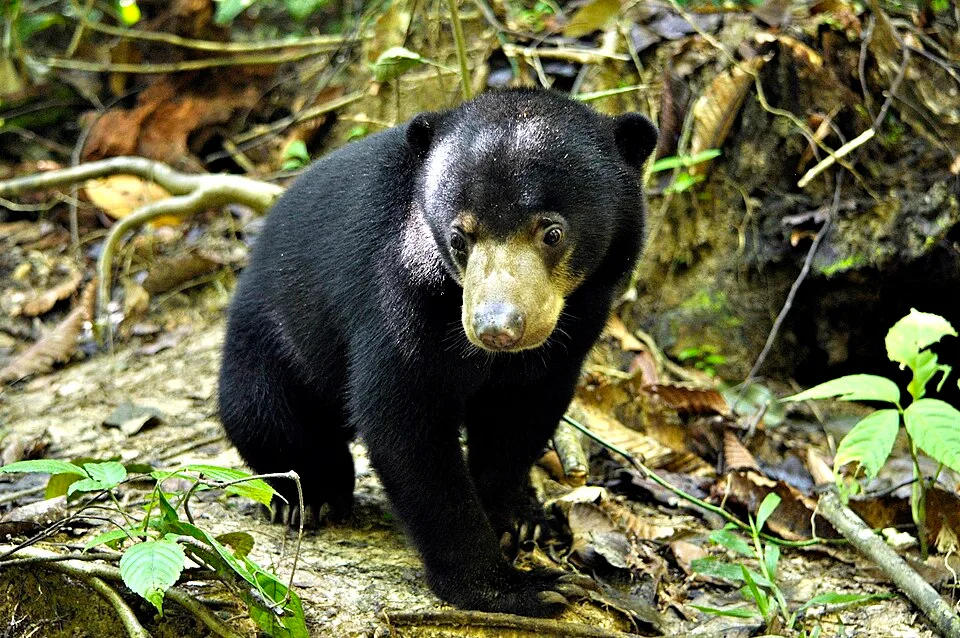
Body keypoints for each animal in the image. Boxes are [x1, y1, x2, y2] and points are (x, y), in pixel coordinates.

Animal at [218, 88, 657, 617]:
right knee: (262, 413)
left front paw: (517, 518)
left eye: (551, 232)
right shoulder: (399, 294)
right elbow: (407, 425)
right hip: (269, 339)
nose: (497, 329)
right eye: (459, 237)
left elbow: (522, 412)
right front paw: (519, 587)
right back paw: (314, 494)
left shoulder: (578, 319)